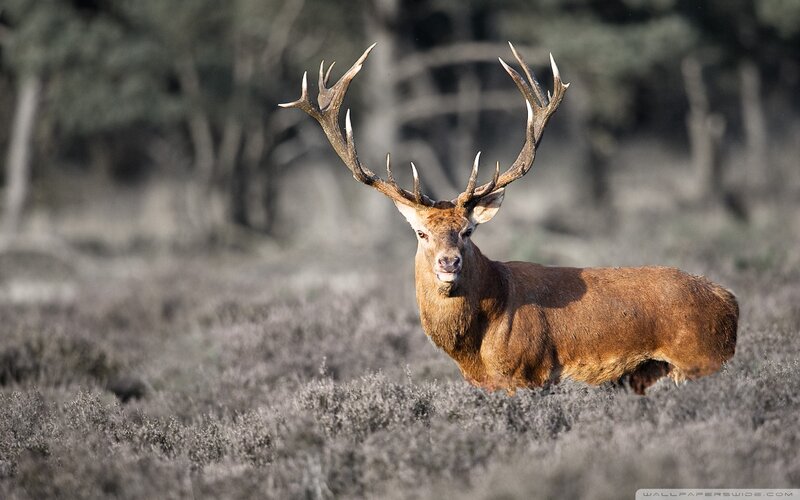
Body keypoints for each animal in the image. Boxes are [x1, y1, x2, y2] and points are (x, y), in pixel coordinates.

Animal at [279, 43, 739, 395]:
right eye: (421, 232)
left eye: (467, 231)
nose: (449, 262)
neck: (475, 348)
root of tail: (730, 303)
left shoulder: (528, 374)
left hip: (700, 358)